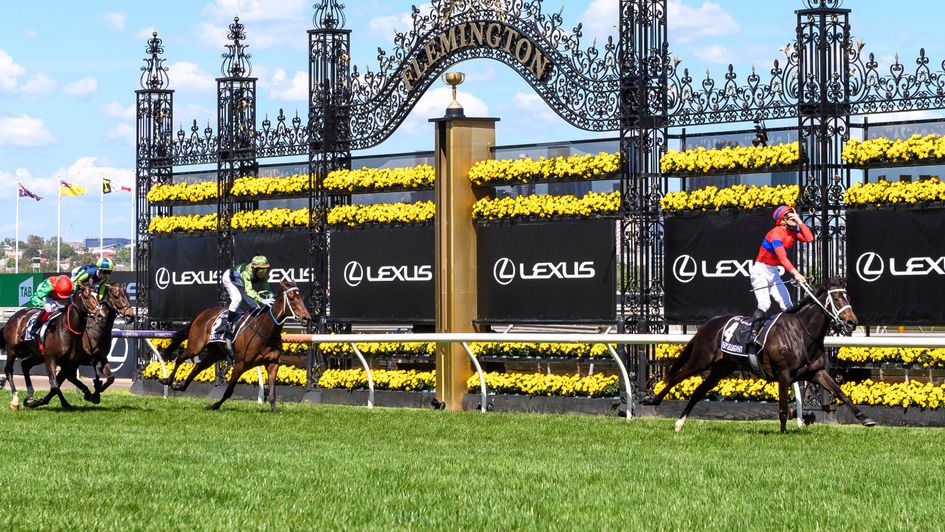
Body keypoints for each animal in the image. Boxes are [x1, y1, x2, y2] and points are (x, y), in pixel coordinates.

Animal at [1, 282, 105, 412]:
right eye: (86, 297)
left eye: (98, 297)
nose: (100, 316)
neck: (67, 331)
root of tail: (13, 317)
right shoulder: (51, 359)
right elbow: (55, 386)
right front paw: (49, 402)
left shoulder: (68, 363)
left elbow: (67, 381)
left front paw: (91, 395)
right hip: (13, 350)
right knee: (8, 370)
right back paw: (15, 401)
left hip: (38, 355)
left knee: (25, 365)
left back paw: (29, 395)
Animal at [159, 280, 310, 414]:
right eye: (291, 298)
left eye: (302, 298)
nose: (307, 318)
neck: (265, 331)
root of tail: (203, 314)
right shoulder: (240, 364)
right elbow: (228, 391)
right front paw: (213, 406)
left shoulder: (273, 363)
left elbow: (272, 394)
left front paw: (274, 412)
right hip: (195, 347)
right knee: (180, 358)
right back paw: (168, 380)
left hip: (215, 353)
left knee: (198, 366)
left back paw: (180, 386)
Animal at [640, 278, 876, 432]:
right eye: (836, 298)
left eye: (847, 296)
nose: (852, 322)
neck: (802, 333)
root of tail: (708, 324)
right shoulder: (784, 375)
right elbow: (783, 408)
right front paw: (783, 432)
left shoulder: (816, 372)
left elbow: (841, 393)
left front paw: (865, 418)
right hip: (700, 360)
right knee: (675, 378)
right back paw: (652, 399)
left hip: (721, 369)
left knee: (698, 391)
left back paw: (679, 423)